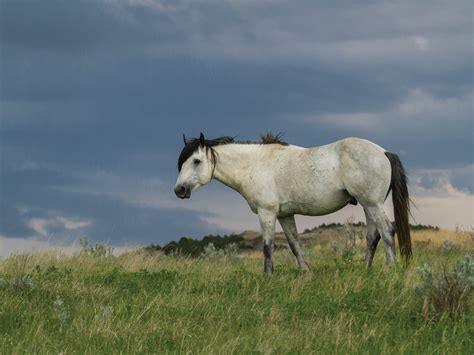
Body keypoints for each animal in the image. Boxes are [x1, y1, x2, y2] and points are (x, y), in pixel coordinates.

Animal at [174, 134, 412, 276]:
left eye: (196, 161)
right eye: (182, 163)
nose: (179, 190)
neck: (255, 164)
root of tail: (383, 152)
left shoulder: (266, 213)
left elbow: (267, 246)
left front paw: (267, 277)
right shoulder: (284, 215)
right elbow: (294, 243)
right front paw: (306, 273)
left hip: (373, 204)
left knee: (387, 231)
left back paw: (391, 270)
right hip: (368, 206)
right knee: (373, 236)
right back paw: (365, 271)